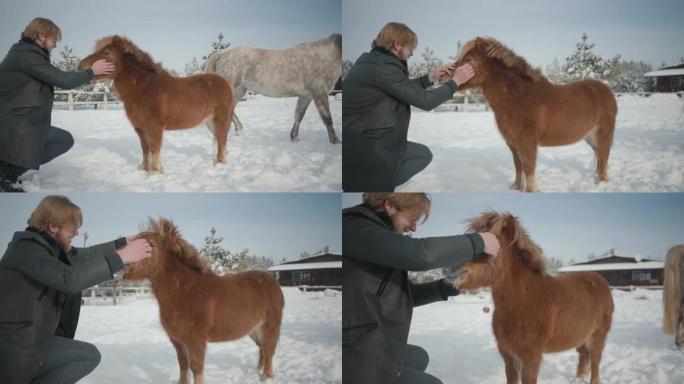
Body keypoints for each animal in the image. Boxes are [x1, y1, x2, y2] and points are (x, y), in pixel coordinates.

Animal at [79, 36, 235, 173]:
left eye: (107, 53)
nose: (81, 65)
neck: (144, 88)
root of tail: (226, 84)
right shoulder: (140, 129)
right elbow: (145, 149)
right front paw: (144, 169)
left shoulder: (154, 127)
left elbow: (154, 149)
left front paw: (155, 172)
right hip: (210, 122)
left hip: (220, 120)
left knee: (222, 140)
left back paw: (219, 164)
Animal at [123, 218, 284, 382]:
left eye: (151, 245)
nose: (126, 266)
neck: (183, 292)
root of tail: (272, 282)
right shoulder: (177, 340)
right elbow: (183, 364)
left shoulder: (195, 341)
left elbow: (196, 368)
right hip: (254, 330)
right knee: (262, 348)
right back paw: (259, 370)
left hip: (269, 327)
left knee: (269, 349)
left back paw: (267, 376)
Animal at [203, 33, 342, 145]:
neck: (322, 57)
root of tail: (222, 55)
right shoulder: (319, 92)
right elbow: (327, 118)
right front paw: (335, 141)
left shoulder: (306, 95)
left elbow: (299, 115)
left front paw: (294, 138)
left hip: (240, 90)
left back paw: (238, 129)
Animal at [446, 37, 616, 190]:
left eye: (468, 59)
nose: (443, 75)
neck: (517, 96)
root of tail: (606, 90)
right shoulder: (513, 143)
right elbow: (518, 167)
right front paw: (516, 187)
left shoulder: (528, 143)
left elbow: (528, 168)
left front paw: (531, 190)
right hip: (590, 136)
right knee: (599, 157)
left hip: (604, 134)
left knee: (603, 156)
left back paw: (601, 183)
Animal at [454, 212, 616, 382]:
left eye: (493, 247)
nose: (455, 273)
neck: (524, 302)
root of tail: (600, 280)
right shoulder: (509, 356)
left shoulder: (531, 357)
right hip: (581, 335)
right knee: (584, 354)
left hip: (599, 334)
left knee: (595, 358)